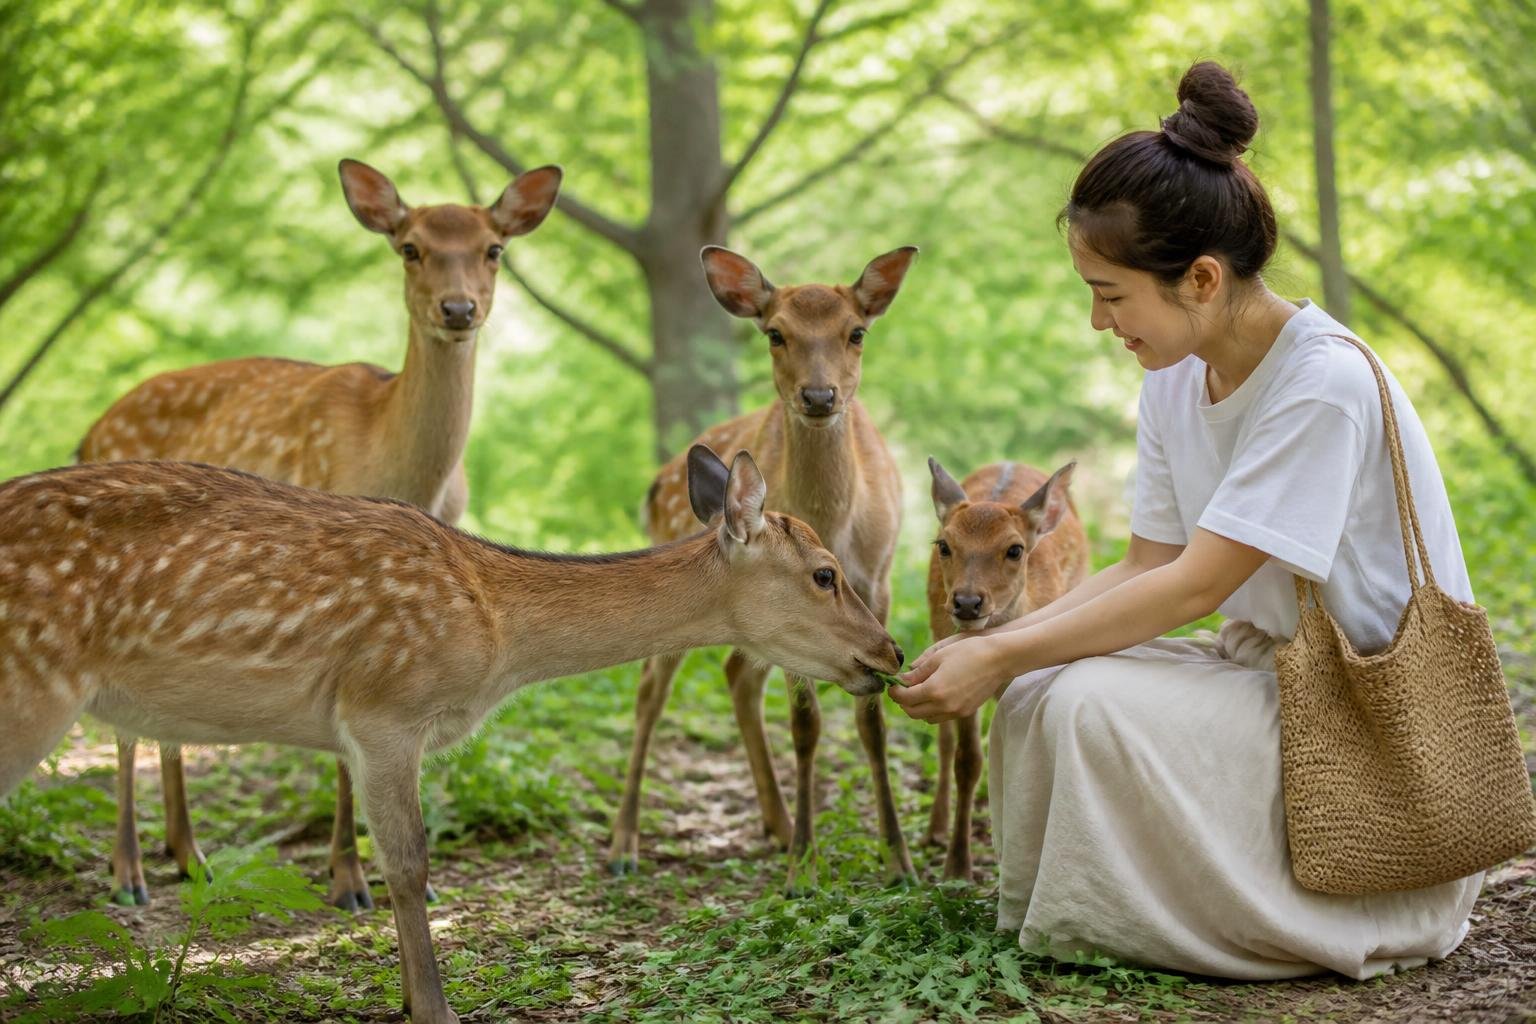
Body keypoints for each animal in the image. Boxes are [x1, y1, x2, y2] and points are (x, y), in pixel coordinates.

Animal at [0, 449, 903, 1024]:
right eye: (824, 574)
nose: (890, 653)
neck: (495, 633)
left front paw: (406, 995)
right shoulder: (382, 709)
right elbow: (410, 866)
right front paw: (435, 1007)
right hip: (29, 685)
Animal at [74, 158, 563, 910]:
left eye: (494, 249)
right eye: (410, 246)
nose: (458, 309)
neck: (397, 463)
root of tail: (92, 430)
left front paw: (375, 879)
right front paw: (349, 880)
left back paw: (188, 855)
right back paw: (128, 871)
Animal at [609, 244, 917, 891]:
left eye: (857, 331)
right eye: (775, 333)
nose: (820, 397)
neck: (836, 521)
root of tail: (655, 485)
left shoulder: (876, 581)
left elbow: (872, 725)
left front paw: (899, 861)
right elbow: (806, 726)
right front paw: (805, 866)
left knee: (736, 673)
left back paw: (776, 823)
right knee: (650, 692)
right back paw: (624, 844)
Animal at [923, 457, 1088, 879]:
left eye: (1015, 550)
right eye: (944, 545)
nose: (966, 602)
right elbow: (968, 761)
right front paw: (957, 869)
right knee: (944, 741)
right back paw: (935, 829)